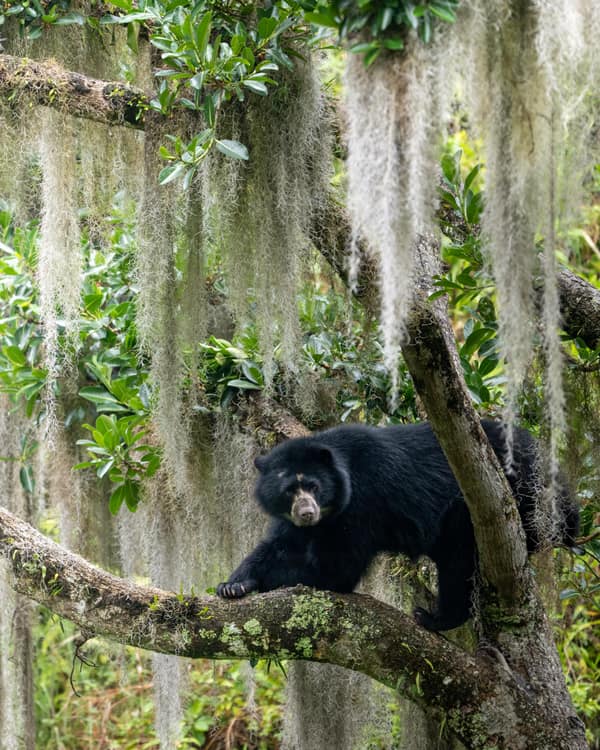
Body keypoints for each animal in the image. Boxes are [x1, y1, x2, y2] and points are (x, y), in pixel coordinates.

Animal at [216, 420, 579, 631]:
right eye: (289, 490)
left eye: (315, 487)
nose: (307, 512)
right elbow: (277, 544)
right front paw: (233, 584)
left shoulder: (362, 506)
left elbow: (336, 570)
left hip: (503, 500)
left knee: (460, 562)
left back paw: (435, 618)